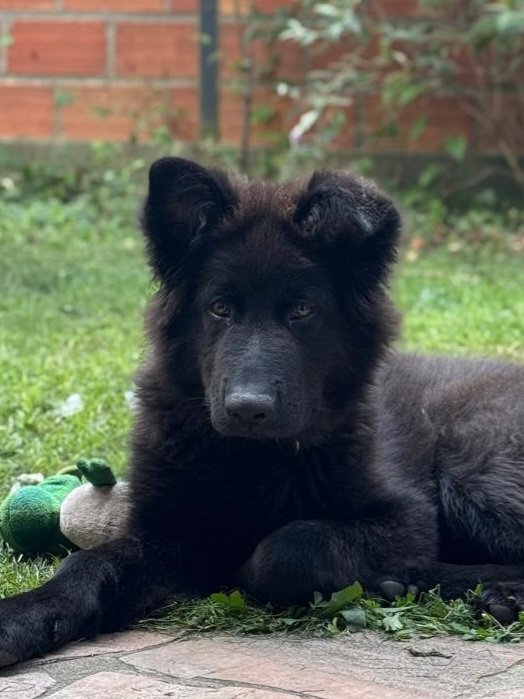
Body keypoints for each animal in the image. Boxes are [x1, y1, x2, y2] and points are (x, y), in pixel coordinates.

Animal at [0, 157, 523, 666]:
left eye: (303, 310)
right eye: (219, 308)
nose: (247, 409)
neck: (254, 458)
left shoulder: (405, 517)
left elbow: (287, 547)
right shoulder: (168, 528)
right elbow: (89, 563)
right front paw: (25, 614)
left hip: (473, 476)